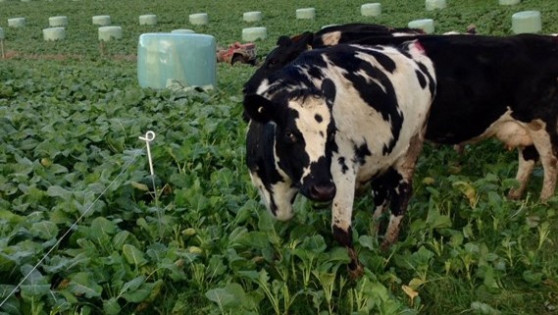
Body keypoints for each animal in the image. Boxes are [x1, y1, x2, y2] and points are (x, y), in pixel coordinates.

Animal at [245, 41, 438, 276]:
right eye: (290, 134)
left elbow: (341, 230)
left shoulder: (342, 166)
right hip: (381, 159)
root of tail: (410, 51)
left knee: (401, 194)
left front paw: (357, 272)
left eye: (331, 133)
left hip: (412, 145)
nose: (322, 189)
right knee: (380, 193)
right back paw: (373, 233)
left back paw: (387, 244)